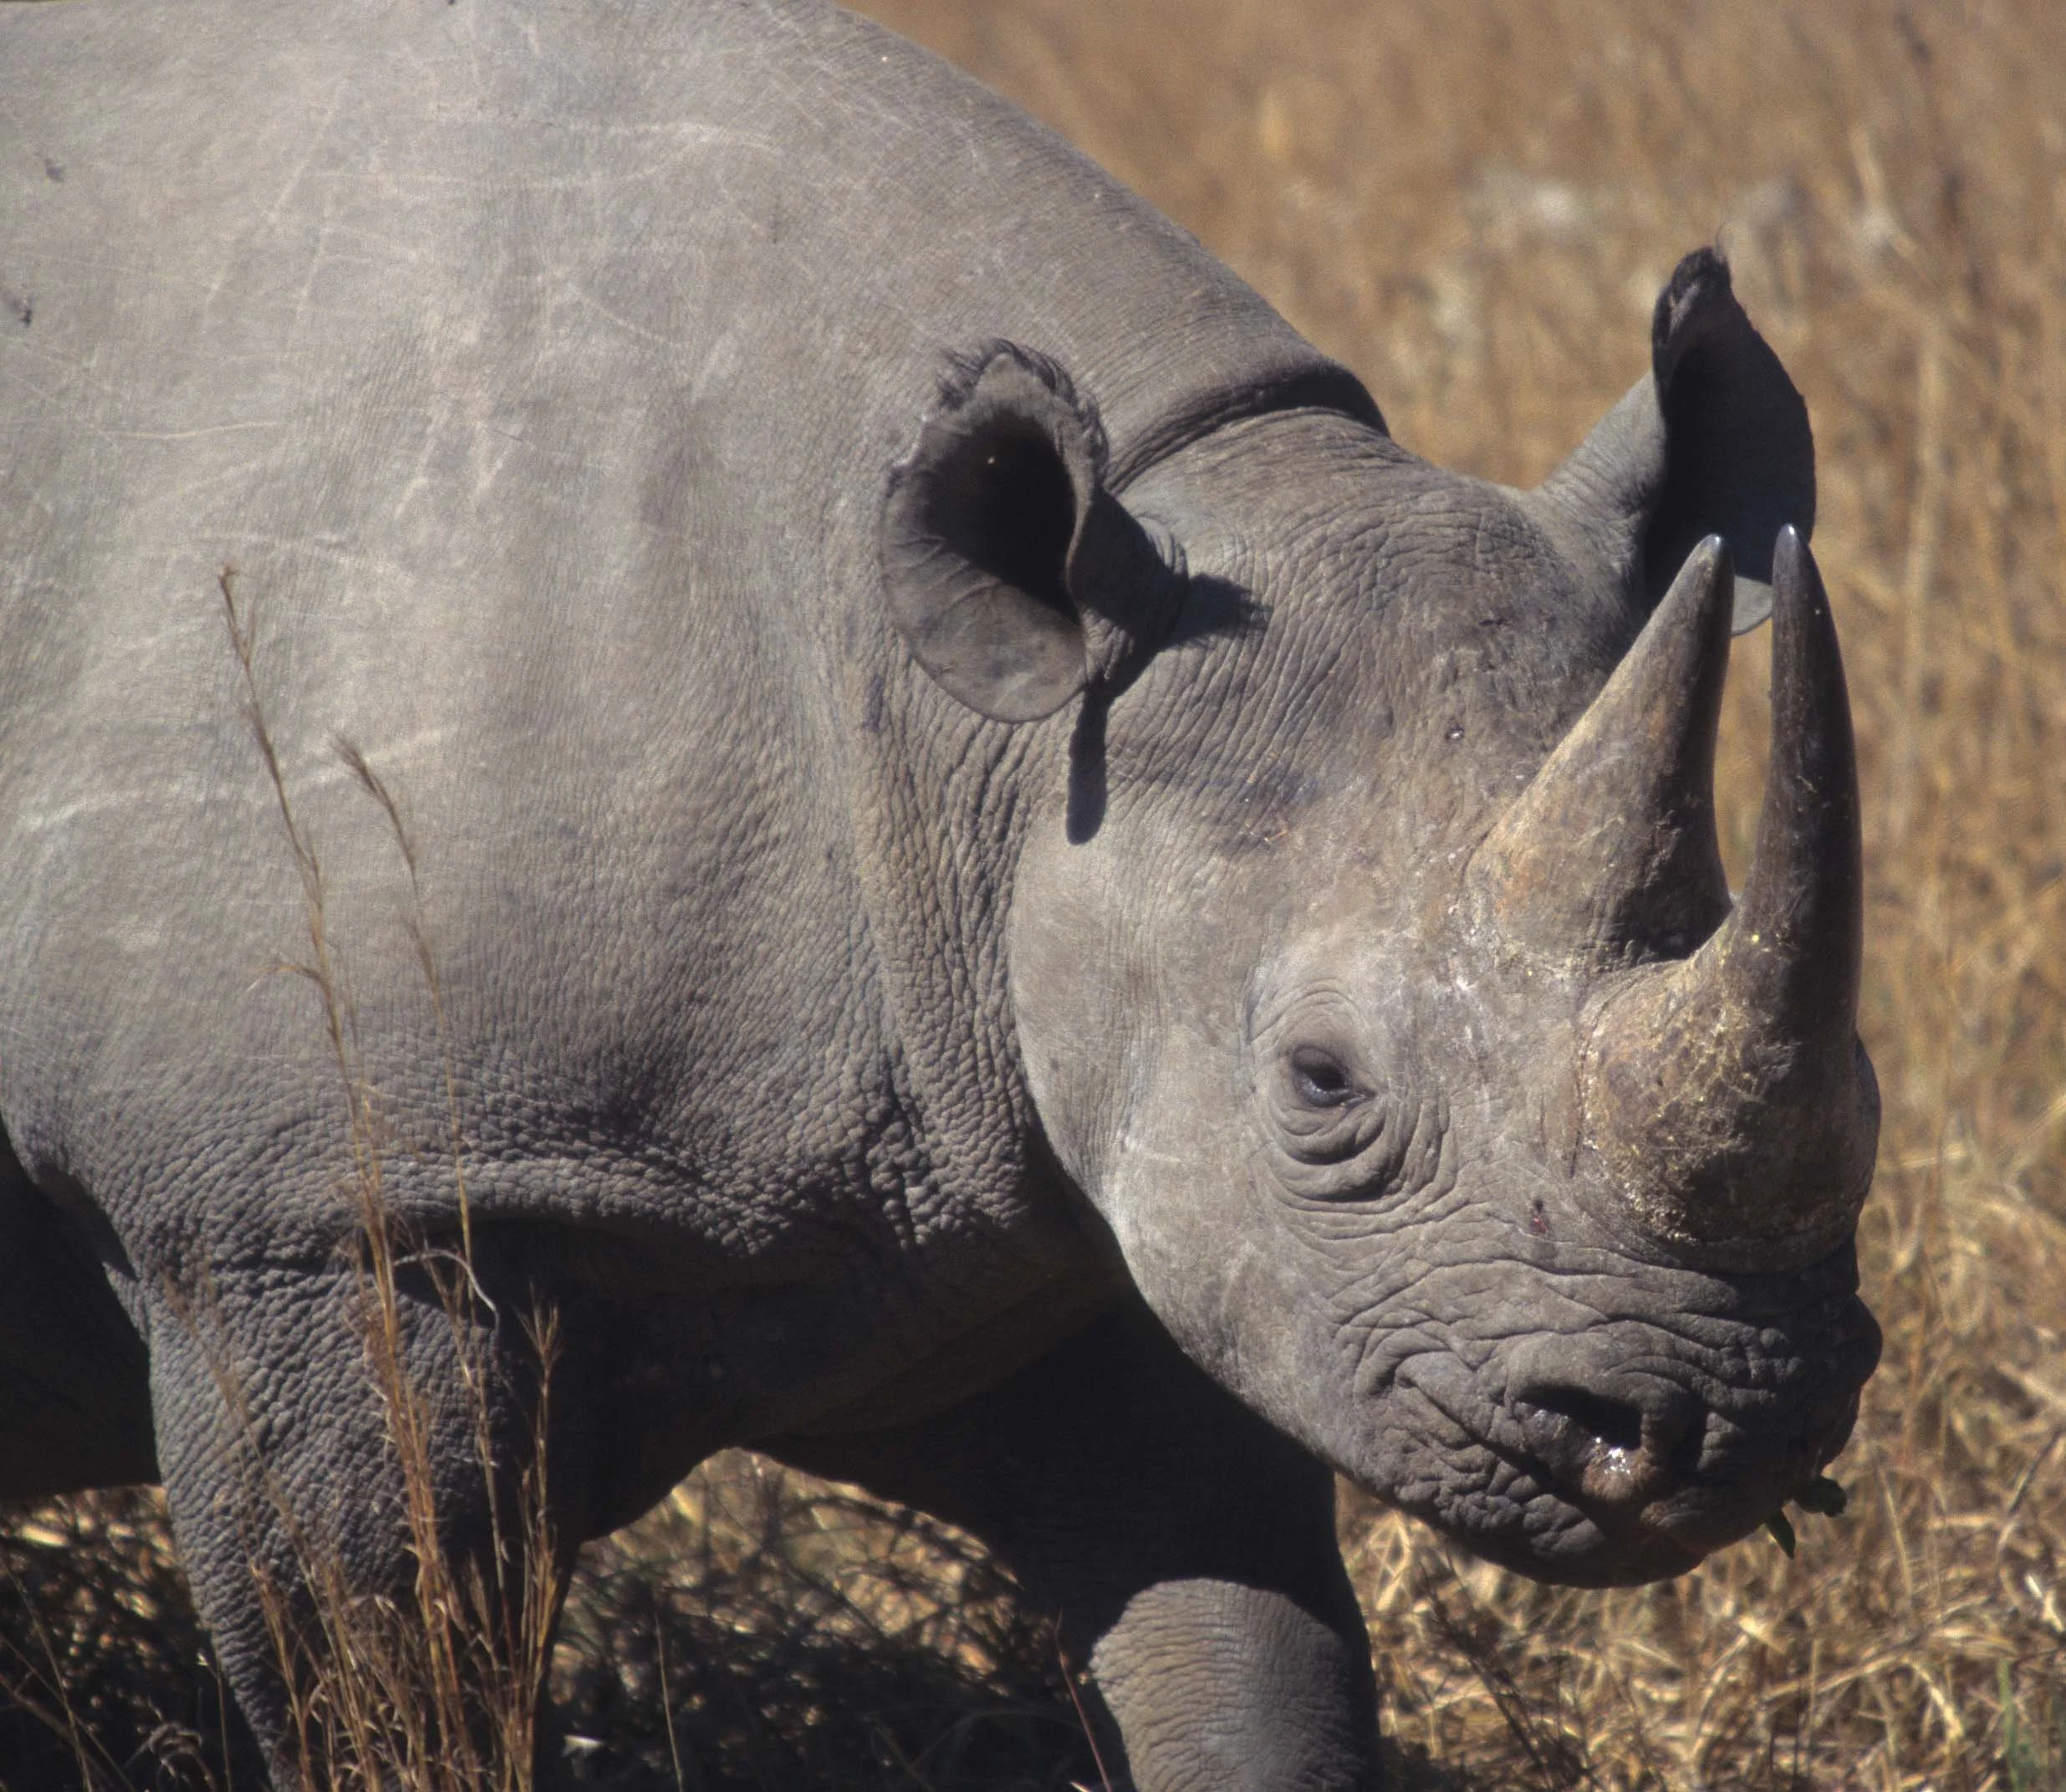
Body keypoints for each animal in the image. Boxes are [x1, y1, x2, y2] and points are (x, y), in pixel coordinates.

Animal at [0, 0, 1880, 1785]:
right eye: (1320, 1084)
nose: (1729, 1421)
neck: (979, 727)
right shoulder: (313, 1210)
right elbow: (385, 1689)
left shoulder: (1068, 1168)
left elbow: (1247, 1648)